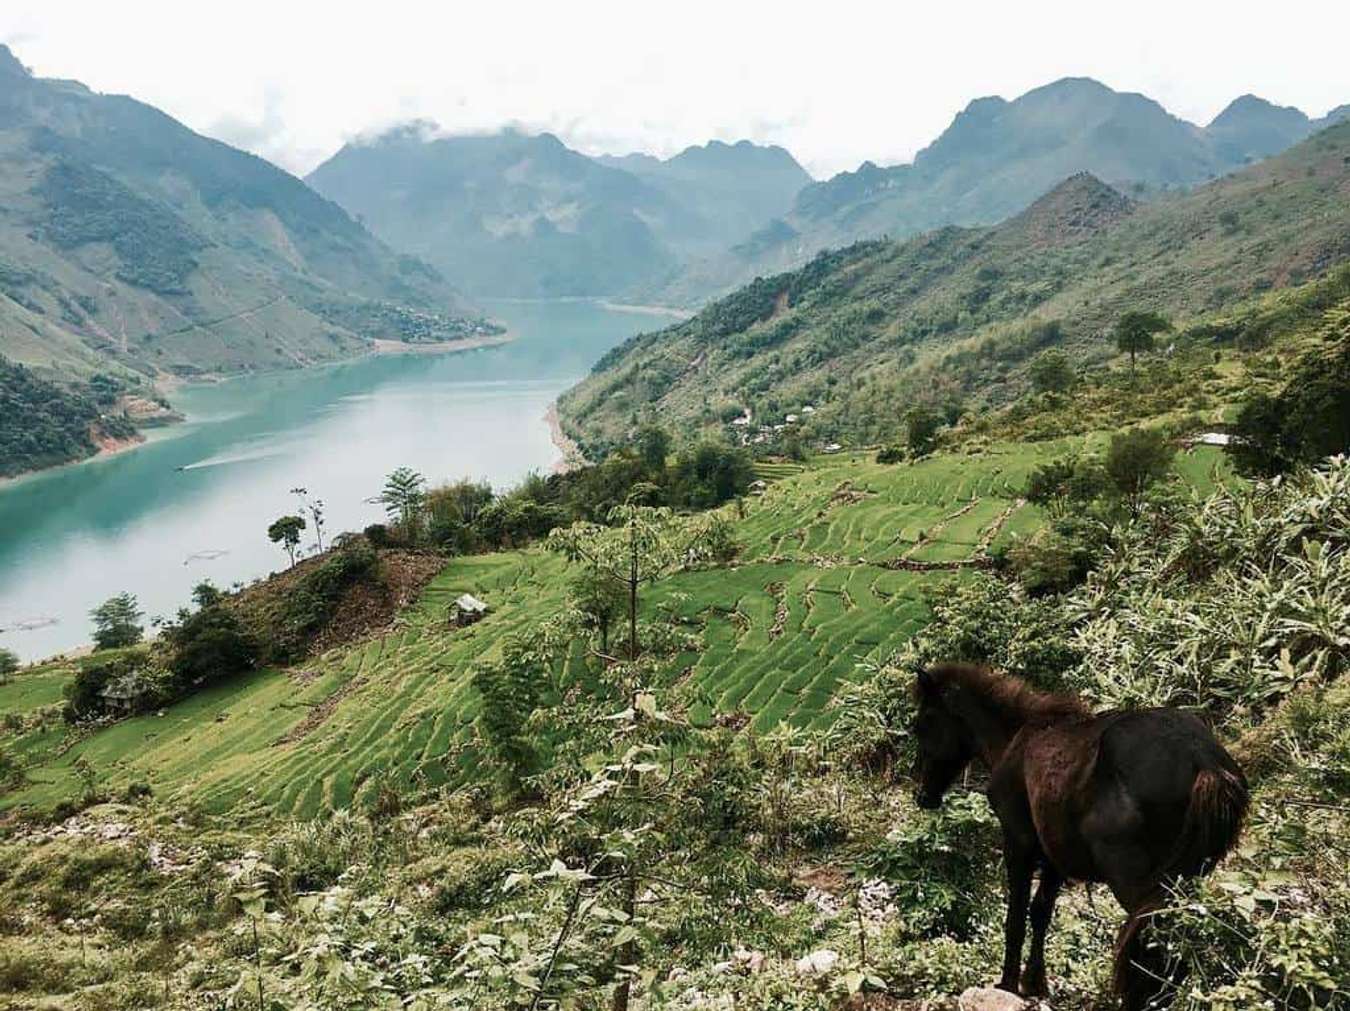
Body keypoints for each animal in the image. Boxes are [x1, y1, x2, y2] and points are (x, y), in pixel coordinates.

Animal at [912, 661, 1247, 1009]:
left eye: (922, 724)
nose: (922, 794)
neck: (1018, 737)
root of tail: (1203, 760)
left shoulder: (1018, 843)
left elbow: (1015, 917)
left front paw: (1007, 984)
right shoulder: (1054, 858)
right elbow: (1040, 913)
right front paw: (1034, 982)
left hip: (1134, 879)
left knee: (1153, 935)